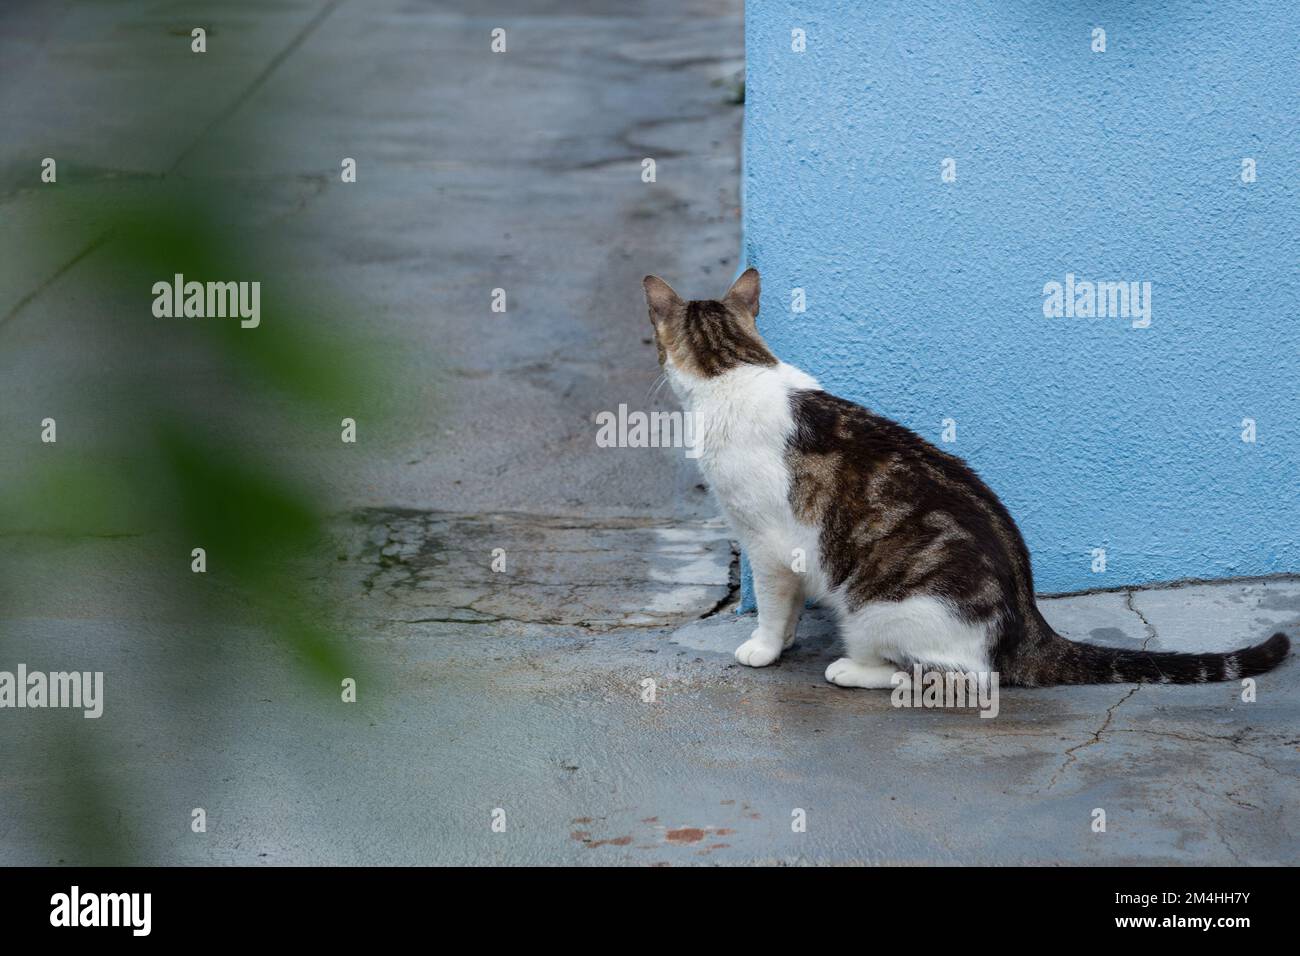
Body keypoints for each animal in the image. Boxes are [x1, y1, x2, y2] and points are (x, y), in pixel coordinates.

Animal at [644, 269, 1294, 686]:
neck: (732, 364)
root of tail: (1029, 623)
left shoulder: (769, 545)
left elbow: (776, 604)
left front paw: (763, 647)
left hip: (878, 609)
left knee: (959, 676)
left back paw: (852, 668)